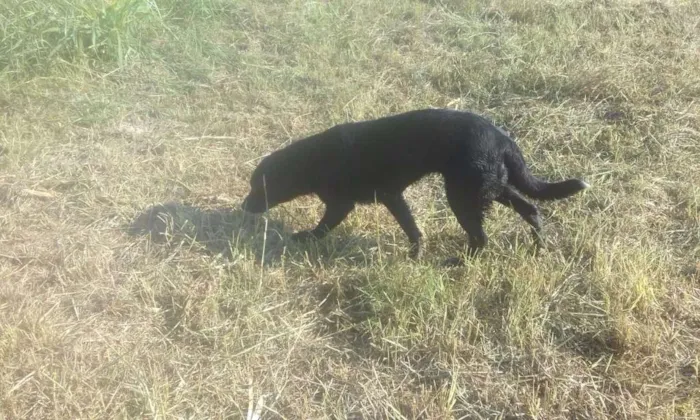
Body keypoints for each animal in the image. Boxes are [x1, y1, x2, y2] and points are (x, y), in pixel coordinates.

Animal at [243, 108, 588, 262]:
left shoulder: (348, 203)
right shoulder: (392, 197)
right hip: (487, 187)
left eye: (258, 187)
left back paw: (457, 262)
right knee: (530, 208)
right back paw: (539, 245)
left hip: (463, 195)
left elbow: (324, 226)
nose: (244, 206)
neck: (315, 158)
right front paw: (416, 254)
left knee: (480, 238)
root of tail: (504, 139)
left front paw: (306, 237)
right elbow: (412, 228)